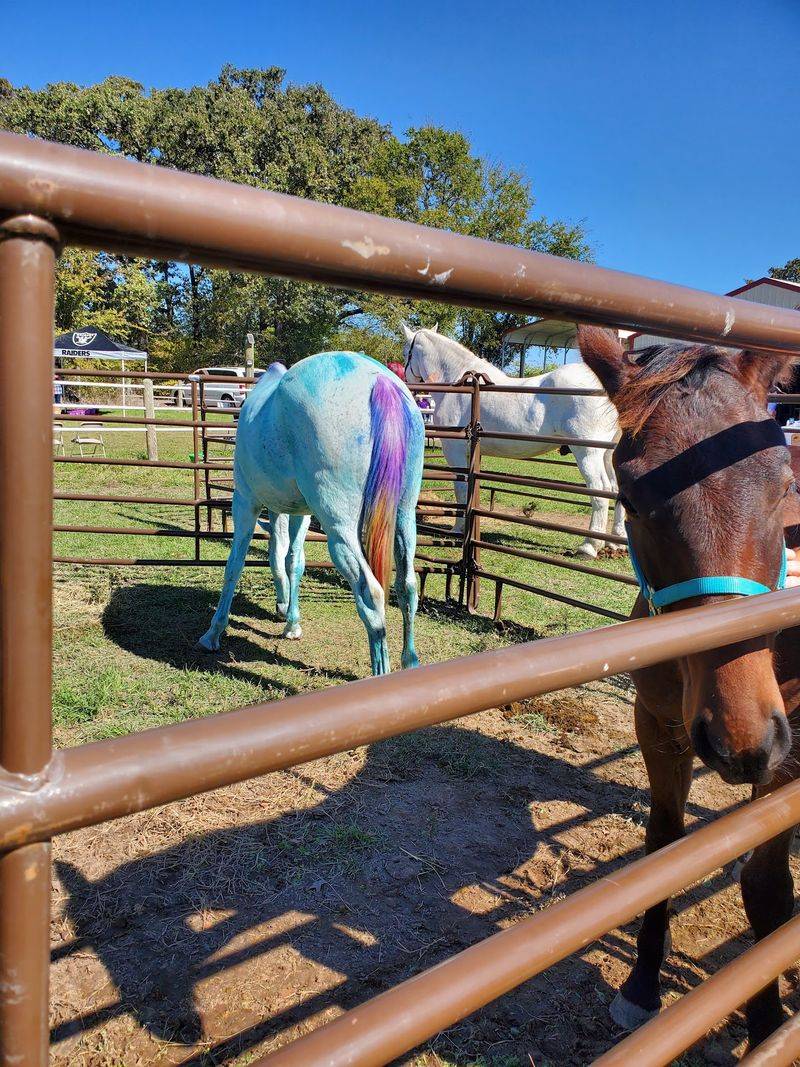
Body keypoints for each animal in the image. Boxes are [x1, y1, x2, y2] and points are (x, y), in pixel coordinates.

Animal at [198, 352, 425, 676]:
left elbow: (235, 565)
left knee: (371, 594)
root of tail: (379, 381)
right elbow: (292, 560)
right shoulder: (299, 513)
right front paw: (291, 623)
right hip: (405, 516)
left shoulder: (245, 500)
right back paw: (410, 661)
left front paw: (214, 632)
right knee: (406, 587)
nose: (280, 609)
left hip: (339, 529)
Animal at [401, 324, 625, 558]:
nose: (408, 383)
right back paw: (615, 543)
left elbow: (460, 489)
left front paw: (457, 529)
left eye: (405, 352)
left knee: (599, 490)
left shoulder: (455, 452)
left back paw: (589, 546)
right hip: (609, 453)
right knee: (616, 489)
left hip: (588, 452)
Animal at [577, 325, 800, 1049]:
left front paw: (766, 1023)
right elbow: (663, 850)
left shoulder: (790, 755)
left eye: (784, 482)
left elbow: (765, 886)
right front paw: (642, 985)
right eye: (631, 497)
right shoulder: (660, 729)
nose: (740, 739)